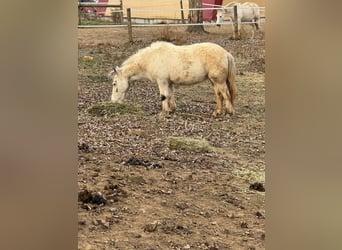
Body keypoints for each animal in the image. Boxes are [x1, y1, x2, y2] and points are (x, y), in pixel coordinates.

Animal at [109, 41, 238, 116]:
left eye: (114, 83)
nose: (113, 101)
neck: (152, 58)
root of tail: (226, 53)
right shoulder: (168, 82)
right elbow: (170, 95)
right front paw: (171, 110)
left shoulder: (162, 81)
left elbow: (163, 96)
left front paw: (164, 112)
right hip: (214, 81)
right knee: (219, 96)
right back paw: (217, 112)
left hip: (219, 81)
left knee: (226, 95)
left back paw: (229, 112)